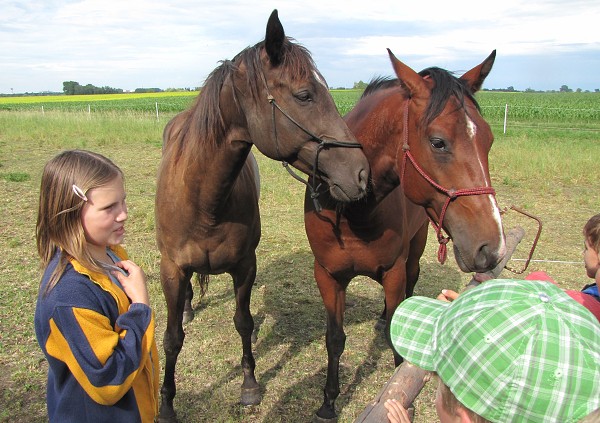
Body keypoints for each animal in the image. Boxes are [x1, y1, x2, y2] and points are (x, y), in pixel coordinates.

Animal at [154, 9, 370, 423]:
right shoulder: (171, 268)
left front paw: (250, 384)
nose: (362, 174)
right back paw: (187, 309)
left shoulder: (245, 266)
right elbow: (171, 339)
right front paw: (167, 404)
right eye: (304, 95)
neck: (205, 202)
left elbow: (243, 321)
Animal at [304, 49, 506, 420]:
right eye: (438, 142)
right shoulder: (327, 275)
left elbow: (400, 332)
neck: (352, 211)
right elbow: (334, 338)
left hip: (416, 247)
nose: (491, 248)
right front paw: (328, 401)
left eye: (488, 139)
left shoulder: (394, 270)